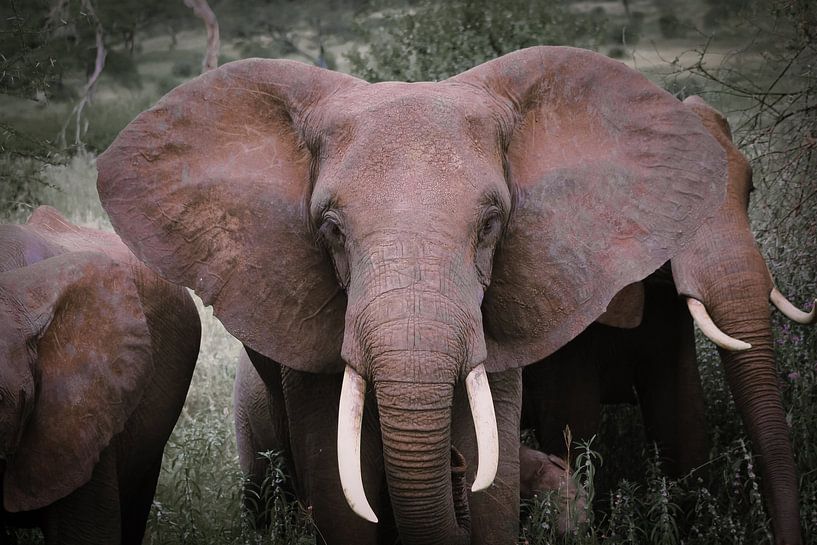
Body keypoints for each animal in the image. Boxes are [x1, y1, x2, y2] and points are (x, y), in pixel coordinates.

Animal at [96, 46, 728, 544]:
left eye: (491, 225)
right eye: (331, 229)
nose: (453, 469)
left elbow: (494, 485)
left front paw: (477, 476)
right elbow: (340, 494)